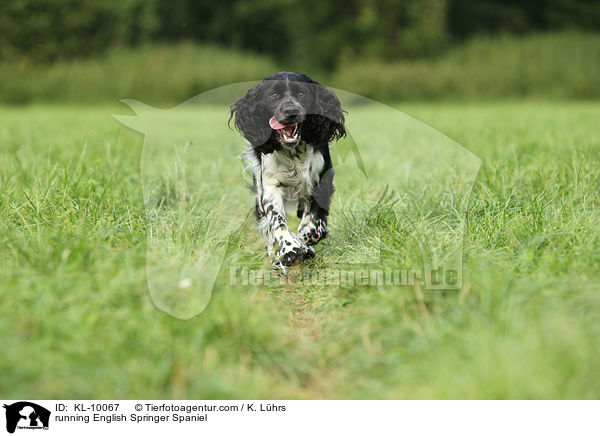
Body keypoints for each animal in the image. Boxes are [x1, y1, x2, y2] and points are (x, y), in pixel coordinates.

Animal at [230, 73, 344, 272]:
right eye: (273, 95)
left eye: (301, 94)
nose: (291, 111)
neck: (293, 152)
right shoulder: (270, 187)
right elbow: (276, 222)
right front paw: (290, 249)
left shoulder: (321, 179)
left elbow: (314, 225)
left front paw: (304, 238)